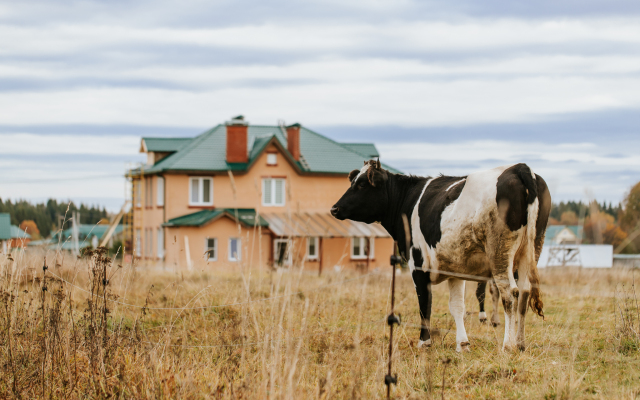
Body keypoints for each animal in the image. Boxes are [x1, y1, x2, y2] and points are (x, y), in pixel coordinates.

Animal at [330, 161, 552, 352]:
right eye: (353, 182)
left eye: (361, 184)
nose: (334, 208)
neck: (407, 201)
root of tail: (519, 167)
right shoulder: (455, 269)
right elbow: (457, 307)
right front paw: (463, 344)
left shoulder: (418, 266)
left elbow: (424, 304)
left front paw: (424, 342)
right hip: (531, 250)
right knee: (524, 292)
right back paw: (520, 343)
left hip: (500, 252)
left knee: (510, 294)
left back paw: (508, 345)